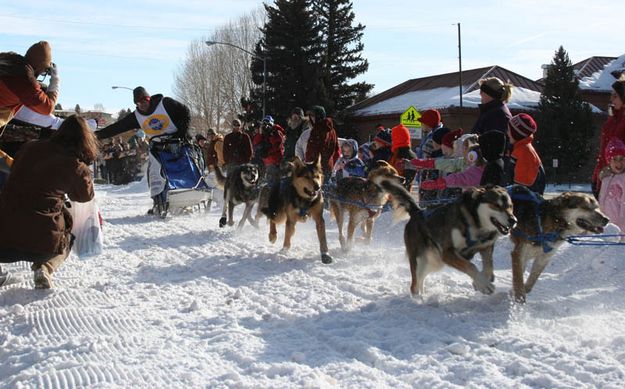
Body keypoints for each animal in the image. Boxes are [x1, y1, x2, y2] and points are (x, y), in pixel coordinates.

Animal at [376, 180, 516, 296]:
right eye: (496, 205)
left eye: (510, 206)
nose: (513, 220)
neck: (475, 223)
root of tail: (418, 212)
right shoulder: (447, 253)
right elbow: (471, 266)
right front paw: (484, 285)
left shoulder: (486, 246)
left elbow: (488, 265)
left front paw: (482, 281)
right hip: (421, 260)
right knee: (414, 285)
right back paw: (418, 300)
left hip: (434, 262)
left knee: (421, 280)